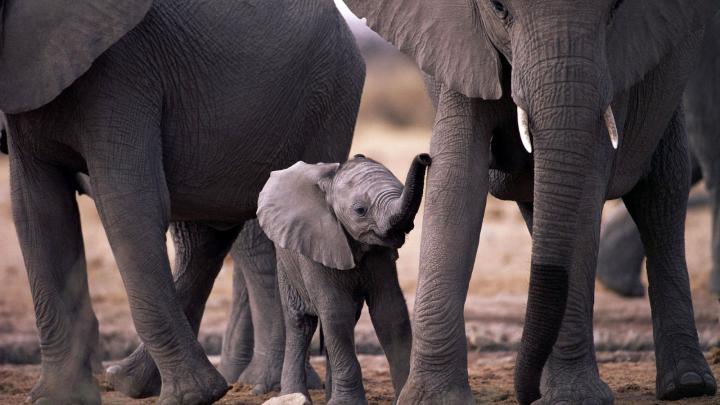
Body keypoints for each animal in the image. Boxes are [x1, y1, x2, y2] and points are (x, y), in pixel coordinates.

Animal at [1, 0, 364, 403]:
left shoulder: (123, 72)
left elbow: (129, 204)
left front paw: (193, 396)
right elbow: (38, 214)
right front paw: (58, 398)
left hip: (328, 100)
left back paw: (253, 386)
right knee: (207, 236)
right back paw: (129, 381)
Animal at [257, 153, 430, 404]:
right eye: (360, 210)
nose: (425, 157)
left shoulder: (380, 254)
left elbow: (390, 311)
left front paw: (403, 397)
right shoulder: (316, 243)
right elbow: (336, 312)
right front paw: (347, 403)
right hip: (286, 261)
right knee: (301, 323)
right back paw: (294, 395)